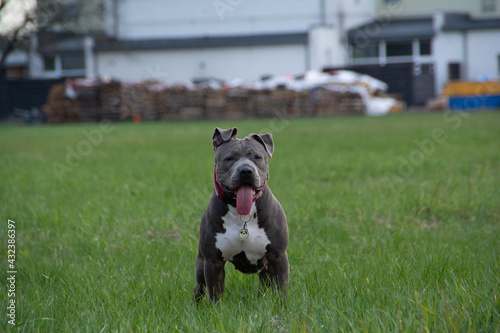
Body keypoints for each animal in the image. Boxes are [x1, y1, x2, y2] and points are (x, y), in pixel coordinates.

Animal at [194, 126, 290, 300]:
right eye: (230, 158)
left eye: (257, 157)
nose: (246, 171)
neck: (242, 214)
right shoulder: (212, 262)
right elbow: (215, 295)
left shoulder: (278, 256)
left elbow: (281, 291)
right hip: (200, 264)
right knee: (198, 288)